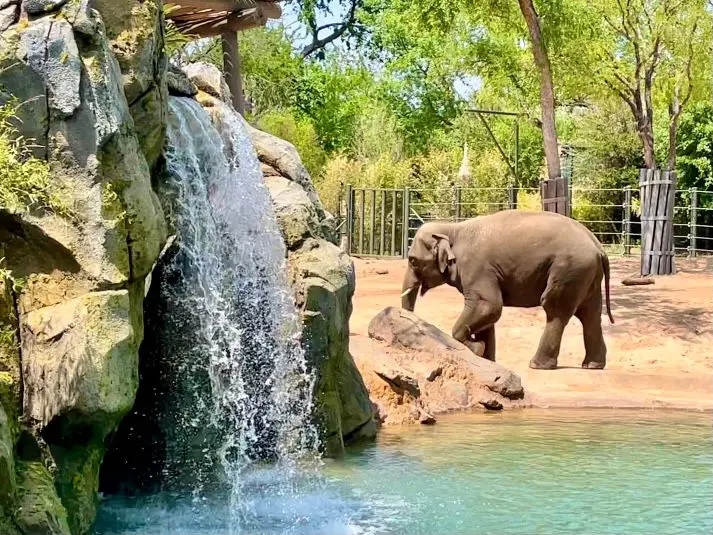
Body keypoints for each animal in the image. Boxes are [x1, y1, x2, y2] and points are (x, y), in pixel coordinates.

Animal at [400, 210, 614, 370]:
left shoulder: (476, 268)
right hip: (586, 274)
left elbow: (489, 305)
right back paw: (593, 365)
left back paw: (538, 365)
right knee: (590, 313)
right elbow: (488, 314)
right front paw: (486, 358)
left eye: (412, 260)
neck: (452, 228)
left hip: (569, 269)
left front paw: (476, 349)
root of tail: (598, 246)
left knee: (556, 310)